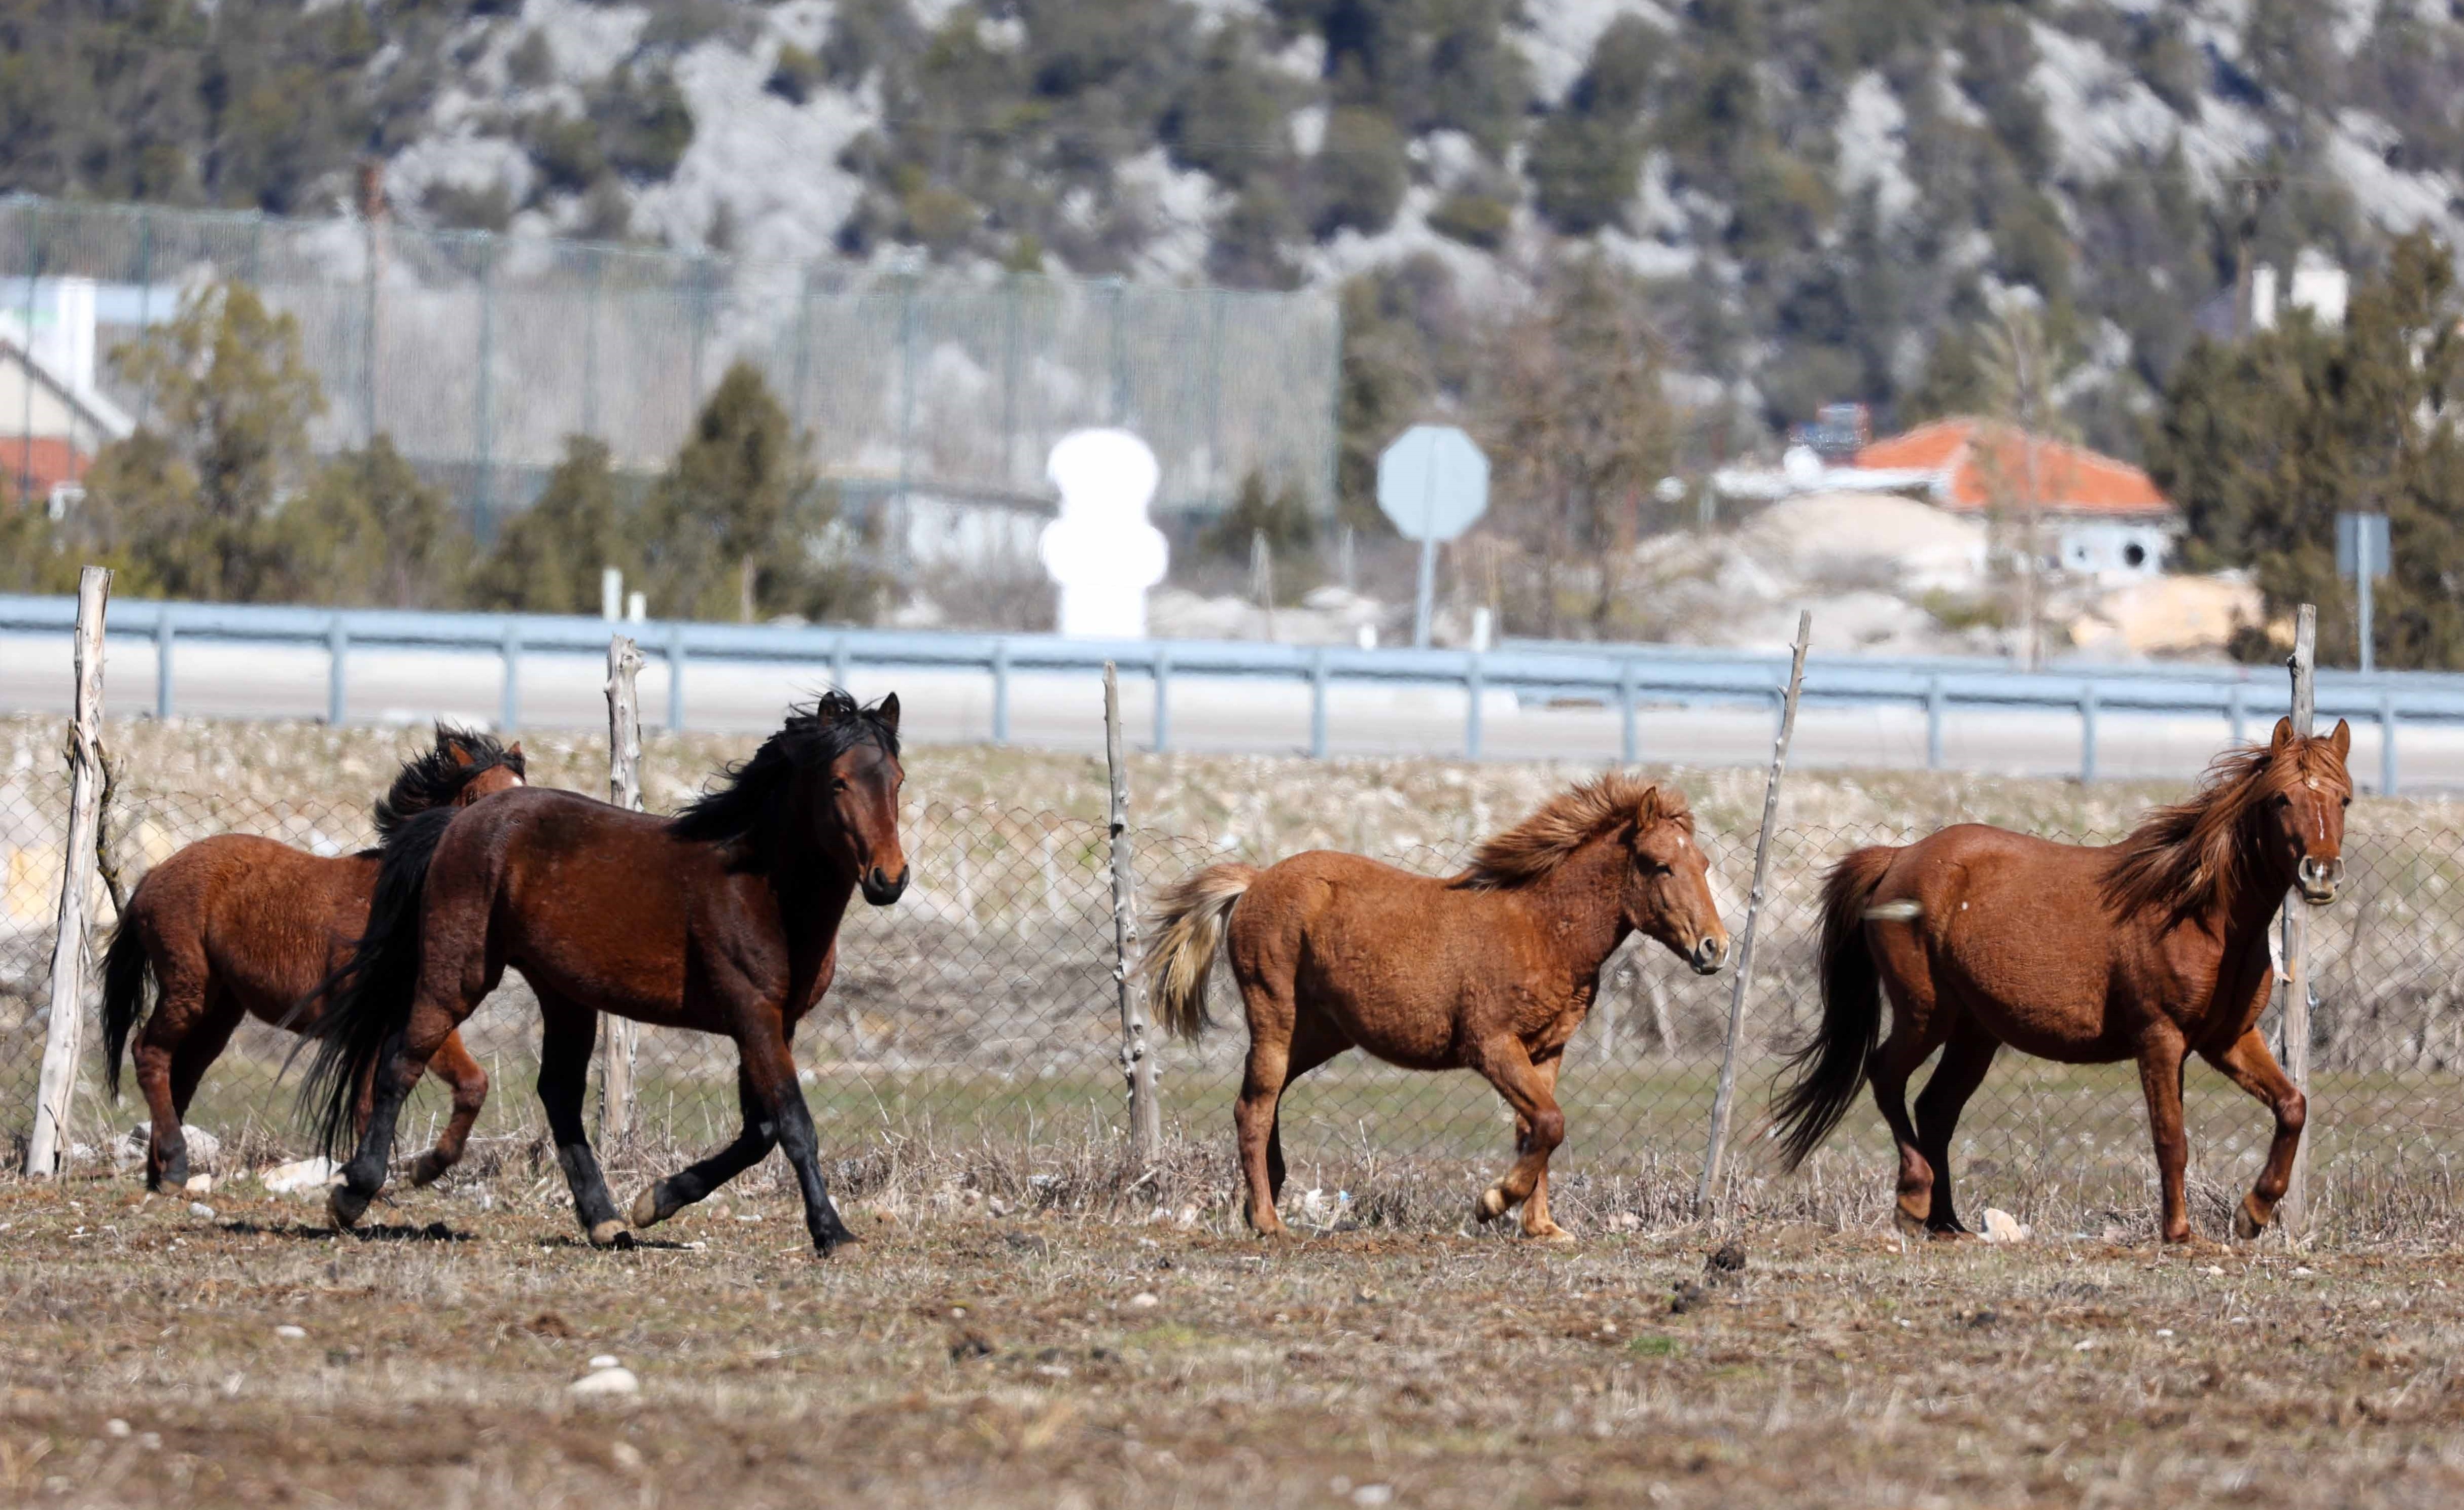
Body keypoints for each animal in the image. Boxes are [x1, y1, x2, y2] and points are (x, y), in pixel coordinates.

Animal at [308, 689, 907, 1246]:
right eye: (838, 782)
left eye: (897, 780)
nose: (889, 879)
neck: (759, 885)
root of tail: (462, 818)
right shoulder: (752, 1014)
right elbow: (794, 1125)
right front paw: (832, 1232)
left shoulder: (777, 1022)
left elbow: (760, 1131)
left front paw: (656, 1200)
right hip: (458, 973)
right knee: (400, 1062)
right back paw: (361, 1190)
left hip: (564, 992)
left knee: (557, 1093)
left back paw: (605, 1219)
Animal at [1143, 773, 1724, 1241]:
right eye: (1659, 865)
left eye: (1703, 863)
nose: (1714, 948)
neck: (1540, 928)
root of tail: (1255, 881)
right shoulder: (1491, 1045)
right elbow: (1550, 1122)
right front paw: (1492, 1203)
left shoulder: (1546, 1050)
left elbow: (1536, 1129)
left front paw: (1541, 1226)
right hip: (1275, 1016)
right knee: (1256, 1106)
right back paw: (1267, 1220)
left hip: (1319, 1035)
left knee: (1262, 1098)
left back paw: (1260, 1201)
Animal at [1774, 714, 2345, 1241]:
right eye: (2281, 799)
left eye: (2343, 798)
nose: (2321, 872)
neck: (2197, 913)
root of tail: (1898, 858)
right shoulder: (2159, 1038)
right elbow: (2171, 1139)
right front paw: (2179, 1233)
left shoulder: (2227, 1039)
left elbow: (2293, 1106)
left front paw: (2253, 1213)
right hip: (1925, 1013)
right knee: (1886, 1076)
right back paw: (1913, 1201)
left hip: (1974, 1032)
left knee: (1934, 1108)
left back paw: (1948, 1223)